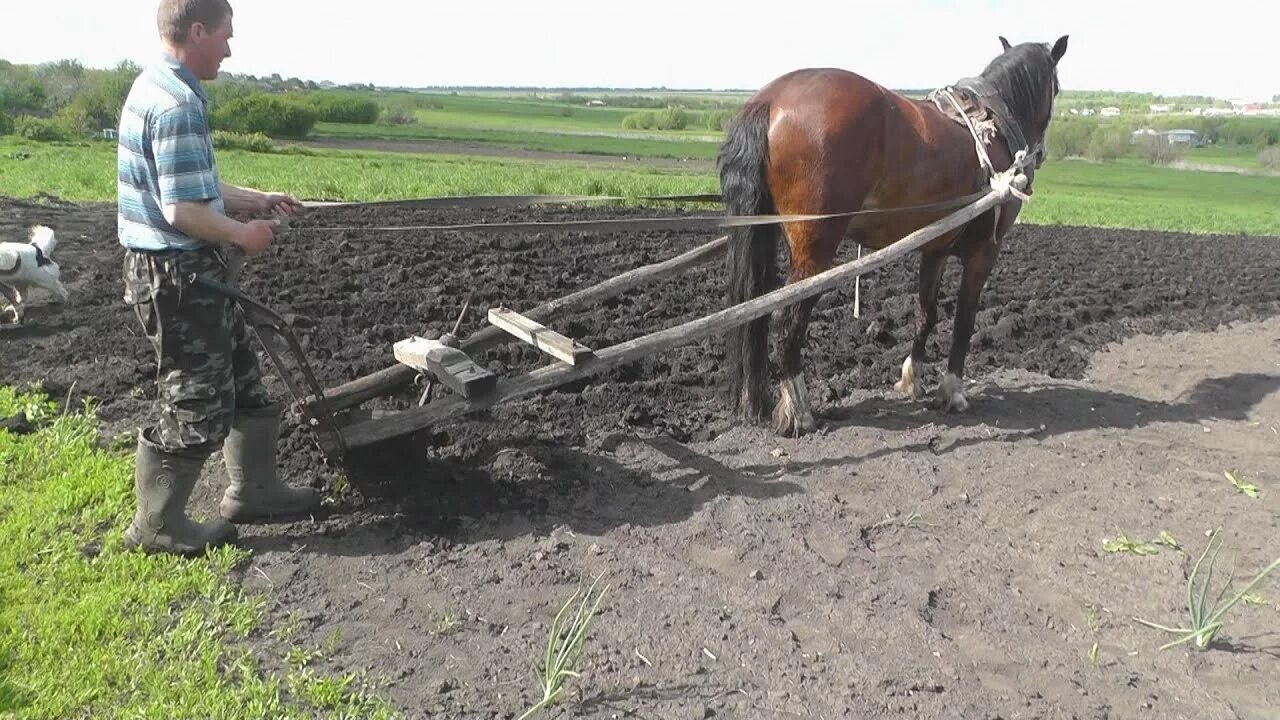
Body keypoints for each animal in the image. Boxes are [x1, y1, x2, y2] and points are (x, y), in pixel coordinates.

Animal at [721, 36, 1070, 435]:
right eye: (1057, 86)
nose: (1040, 155)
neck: (993, 125)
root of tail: (770, 99)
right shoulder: (985, 251)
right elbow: (964, 320)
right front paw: (952, 391)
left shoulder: (934, 248)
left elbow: (925, 314)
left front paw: (911, 379)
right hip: (815, 252)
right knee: (789, 320)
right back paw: (799, 410)